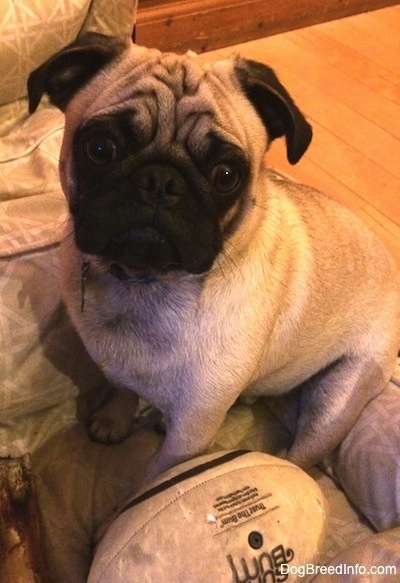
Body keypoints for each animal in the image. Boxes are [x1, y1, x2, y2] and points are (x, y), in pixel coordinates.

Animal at [28, 33, 400, 480]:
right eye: (100, 148)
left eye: (226, 175)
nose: (160, 181)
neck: (144, 281)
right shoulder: (119, 369)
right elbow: (123, 389)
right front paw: (115, 420)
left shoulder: (191, 432)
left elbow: (155, 482)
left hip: (339, 394)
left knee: (299, 459)